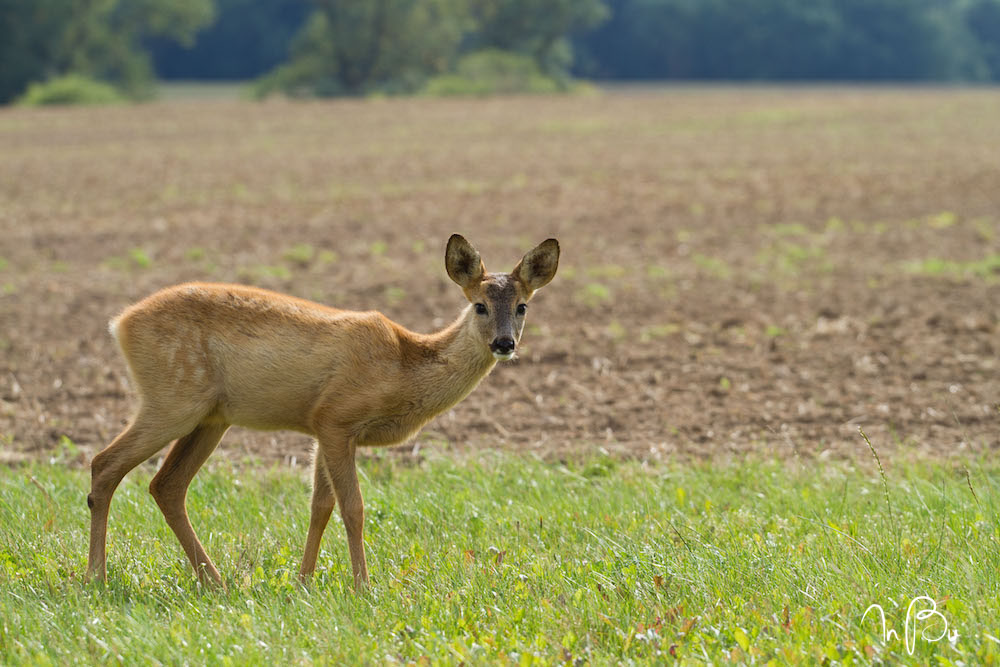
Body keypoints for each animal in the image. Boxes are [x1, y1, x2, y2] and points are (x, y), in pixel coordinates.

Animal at [86, 235, 560, 588]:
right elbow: (353, 507)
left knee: (166, 485)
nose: (504, 343)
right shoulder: (336, 417)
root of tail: (119, 323)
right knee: (104, 464)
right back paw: (97, 578)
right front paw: (363, 586)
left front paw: (304, 581)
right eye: (480, 305)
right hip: (172, 397)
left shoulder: (320, 428)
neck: (403, 367)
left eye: (522, 306)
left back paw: (215, 582)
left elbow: (320, 506)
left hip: (210, 417)